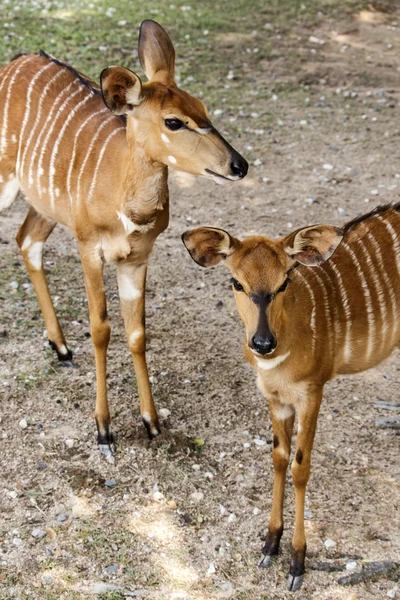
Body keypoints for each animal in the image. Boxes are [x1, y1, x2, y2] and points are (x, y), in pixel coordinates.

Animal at [0, 18, 248, 460]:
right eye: (173, 121)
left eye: (203, 107)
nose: (239, 165)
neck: (126, 207)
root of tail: (16, 60)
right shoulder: (88, 247)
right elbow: (101, 330)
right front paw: (103, 429)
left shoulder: (137, 258)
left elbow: (137, 333)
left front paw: (151, 422)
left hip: (44, 205)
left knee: (27, 240)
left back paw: (61, 348)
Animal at [183, 202, 400, 592]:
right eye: (236, 282)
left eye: (285, 280)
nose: (262, 343)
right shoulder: (275, 397)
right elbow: (279, 458)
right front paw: (270, 544)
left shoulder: (312, 391)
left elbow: (301, 467)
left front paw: (298, 561)